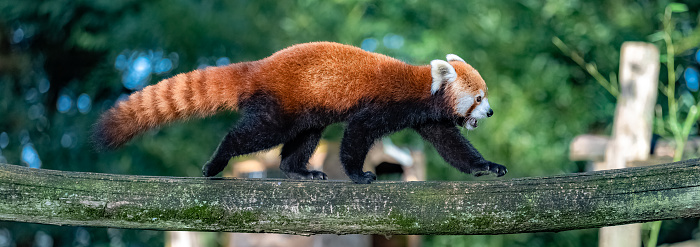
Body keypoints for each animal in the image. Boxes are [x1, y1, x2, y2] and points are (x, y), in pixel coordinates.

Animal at [95, 41, 506, 183]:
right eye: (479, 97)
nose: (490, 114)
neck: (424, 89)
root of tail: (259, 67)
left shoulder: (428, 118)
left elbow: (453, 147)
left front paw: (487, 166)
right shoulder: (384, 105)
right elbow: (356, 136)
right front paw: (358, 175)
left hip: (309, 112)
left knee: (303, 141)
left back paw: (299, 171)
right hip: (281, 107)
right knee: (252, 134)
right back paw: (215, 164)